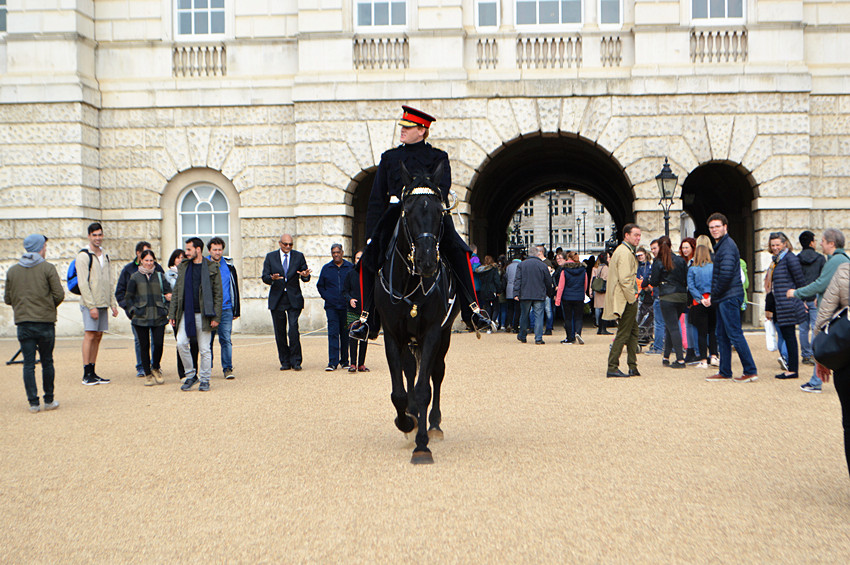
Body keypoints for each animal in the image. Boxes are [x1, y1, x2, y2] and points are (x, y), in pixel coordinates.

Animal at [374, 162, 460, 462]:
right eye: (407, 212)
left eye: (439, 212)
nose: (427, 262)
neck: (410, 283)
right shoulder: (392, 335)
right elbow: (399, 392)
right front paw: (406, 422)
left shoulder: (433, 332)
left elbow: (425, 388)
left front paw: (422, 444)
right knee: (411, 370)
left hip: (444, 336)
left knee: (436, 373)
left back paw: (433, 424)